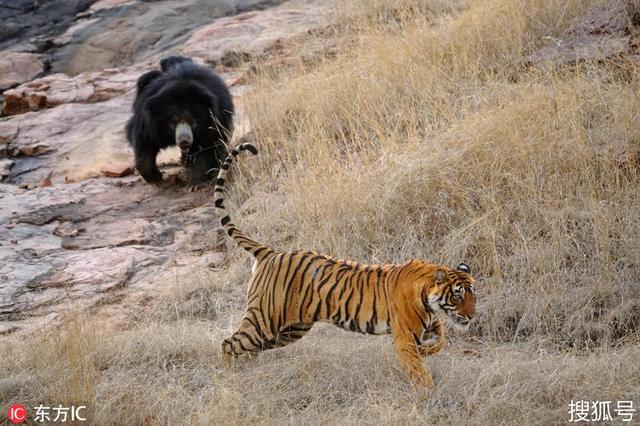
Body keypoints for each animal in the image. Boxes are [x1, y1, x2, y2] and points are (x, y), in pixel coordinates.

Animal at [126, 55, 234, 183]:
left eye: (193, 121)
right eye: (173, 122)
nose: (184, 141)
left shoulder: (215, 121)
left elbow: (208, 146)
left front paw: (196, 179)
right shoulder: (149, 121)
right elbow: (145, 143)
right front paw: (155, 177)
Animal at [214, 142, 476, 386]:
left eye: (473, 295)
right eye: (458, 296)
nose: (473, 316)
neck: (430, 300)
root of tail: (270, 252)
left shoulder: (430, 325)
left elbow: (441, 340)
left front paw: (428, 351)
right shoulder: (404, 336)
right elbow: (418, 370)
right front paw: (427, 393)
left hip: (290, 329)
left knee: (249, 347)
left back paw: (249, 369)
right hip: (265, 320)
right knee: (228, 343)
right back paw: (230, 377)